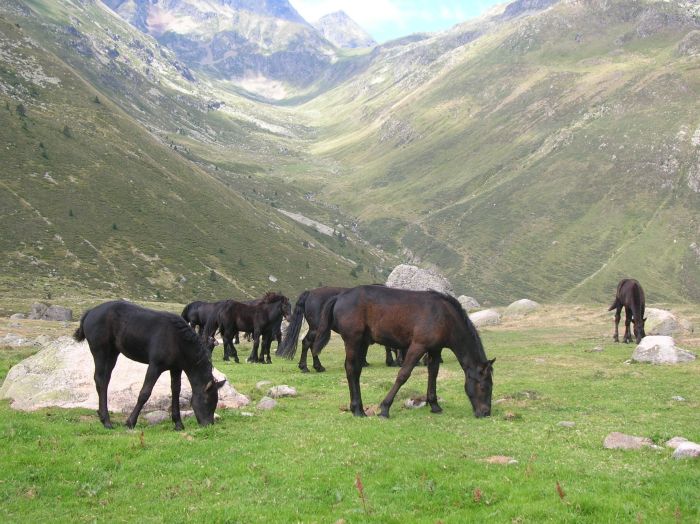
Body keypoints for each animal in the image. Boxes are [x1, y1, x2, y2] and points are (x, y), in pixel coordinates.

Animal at [72, 300, 224, 432]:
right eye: (207, 401)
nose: (208, 424)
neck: (177, 340)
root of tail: (90, 312)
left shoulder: (176, 369)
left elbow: (176, 391)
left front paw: (178, 423)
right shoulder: (155, 366)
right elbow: (145, 393)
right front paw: (130, 422)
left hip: (113, 353)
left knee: (105, 380)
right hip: (100, 351)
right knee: (100, 379)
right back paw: (107, 421)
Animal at [308, 284, 494, 420]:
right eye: (484, 387)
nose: (486, 413)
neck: (444, 316)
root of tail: (339, 296)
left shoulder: (435, 350)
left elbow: (433, 374)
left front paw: (434, 405)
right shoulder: (418, 346)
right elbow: (403, 374)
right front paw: (385, 408)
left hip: (362, 343)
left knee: (356, 371)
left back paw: (358, 408)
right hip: (353, 341)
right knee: (351, 369)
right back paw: (357, 410)